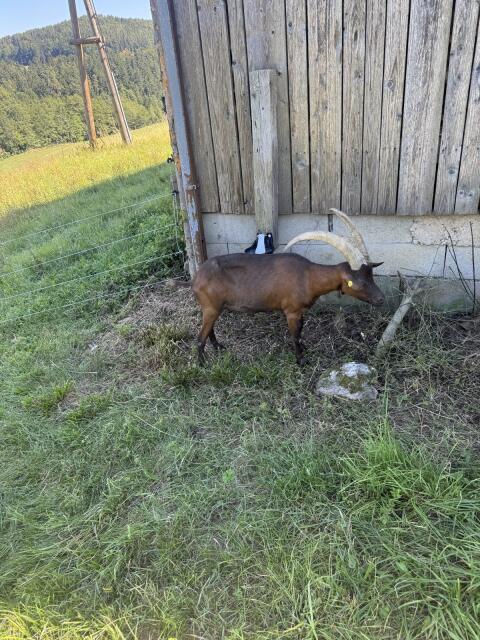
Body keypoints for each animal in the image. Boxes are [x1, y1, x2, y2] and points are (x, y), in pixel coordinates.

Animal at [192, 209, 385, 365]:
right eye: (360, 282)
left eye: (371, 275)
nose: (381, 299)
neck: (307, 276)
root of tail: (197, 277)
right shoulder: (291, 311)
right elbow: (295, 336)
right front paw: (301, 361)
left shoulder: (300, 311)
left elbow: (301, 331)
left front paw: (304, 349)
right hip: (210, 306)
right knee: (200, 337)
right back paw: (202, 363)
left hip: (214, 307)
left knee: (210, 329)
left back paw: (218, 347)